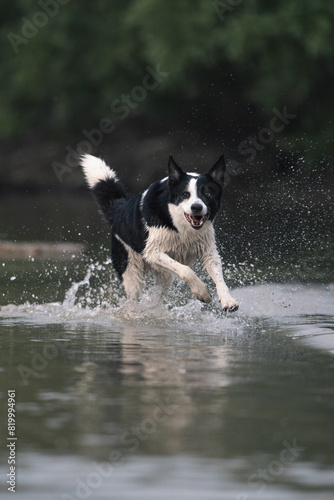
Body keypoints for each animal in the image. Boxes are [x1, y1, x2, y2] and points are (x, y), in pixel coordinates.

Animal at [80, 152, 237, 310]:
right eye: (185, 194)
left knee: (154, 293)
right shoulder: (153, 252)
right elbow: (186, 270)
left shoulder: (207, 250)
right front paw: (202, 292)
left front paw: (228, 300)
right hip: (131, 271)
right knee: (132, 299)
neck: (179, 227)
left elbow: (219, 277)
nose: (197, 207)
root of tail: (120, 209)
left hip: (162, 274)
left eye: (207, 194)